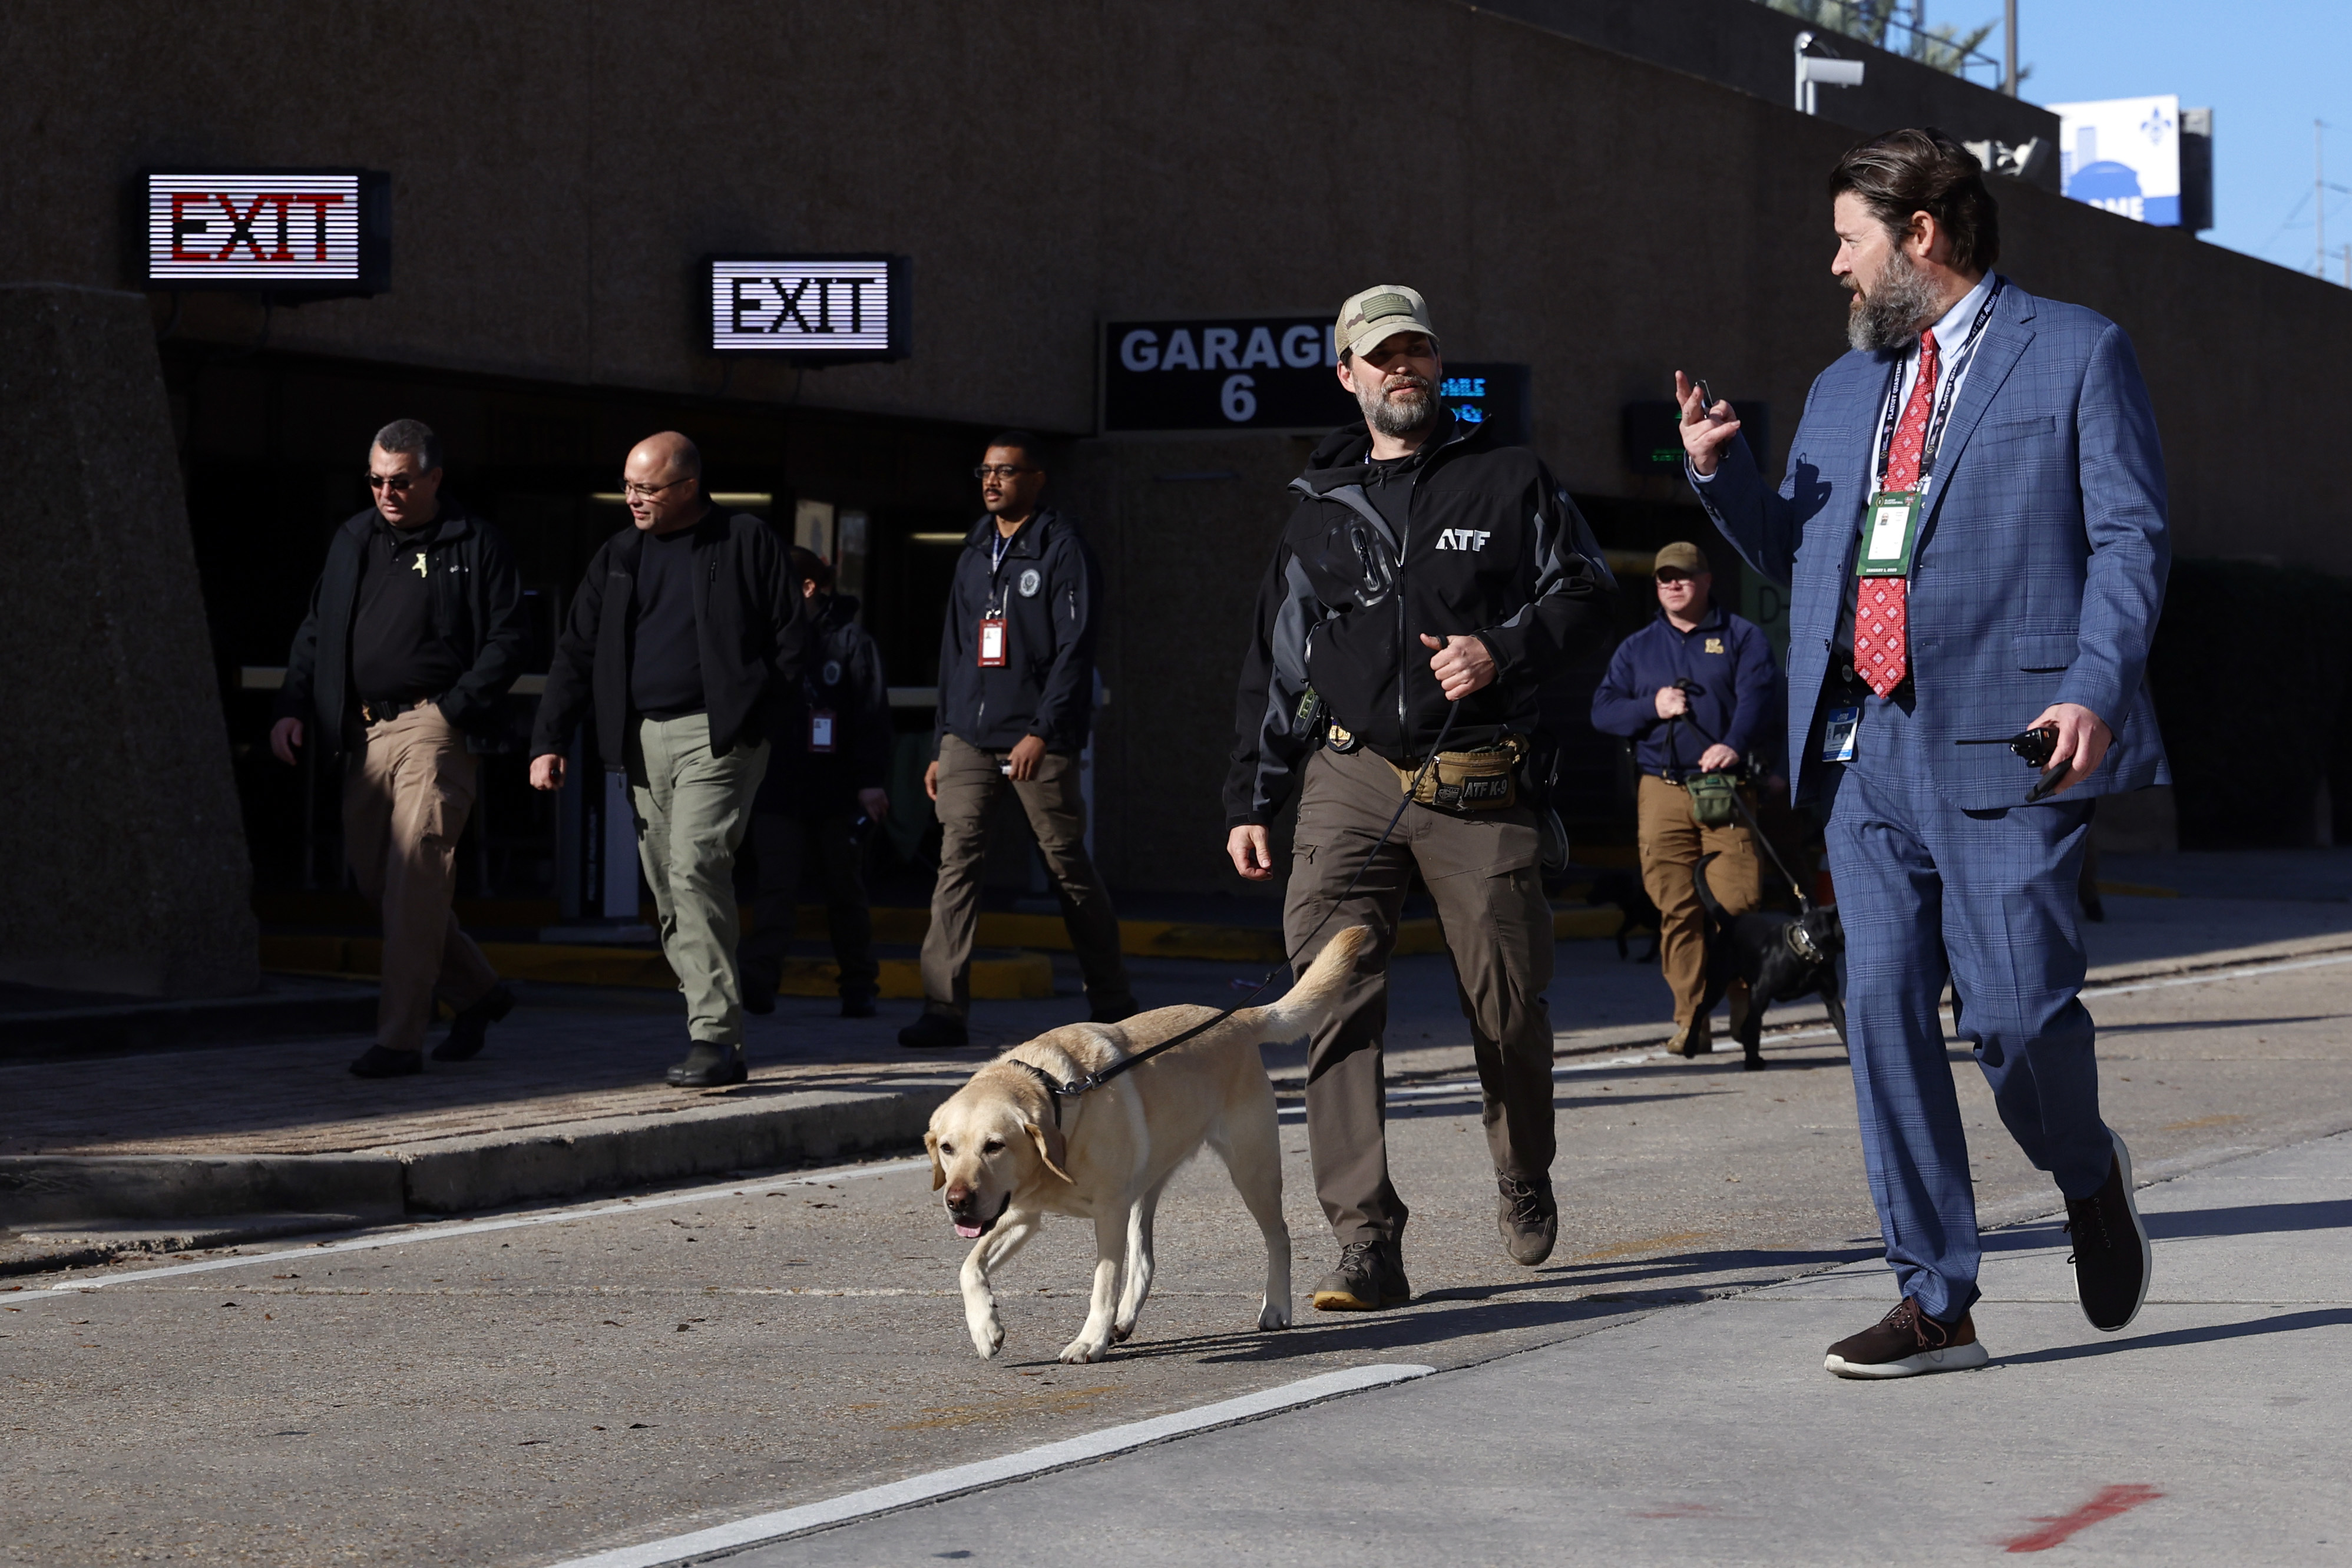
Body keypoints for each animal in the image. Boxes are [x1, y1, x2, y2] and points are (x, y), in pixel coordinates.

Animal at [927, 921, 1373, 1363]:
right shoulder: (1021, 1213)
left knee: (1278, 1236)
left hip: (1251, 1171)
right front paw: (985, 1328)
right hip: (1145, 1189)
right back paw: (1123, 1320)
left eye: (995, 1146)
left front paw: (1089, 1341)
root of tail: (1236, 1019)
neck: (1058, 1098)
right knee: (1145, 1261)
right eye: (947, 1149)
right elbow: (969, 1267)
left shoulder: (1108, 1213)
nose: (956, 1201)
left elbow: (1103, 1283)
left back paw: (1276, 1307)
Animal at [1590, 865, 1665, 964]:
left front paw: (1647, 958)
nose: (1587, 898)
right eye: (1596, 884)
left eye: (1602, 886)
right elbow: (1620, 932)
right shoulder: (1632, 920)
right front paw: (1624, 951)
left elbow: (1655, 945)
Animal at [1693, 851, 1853, 1071]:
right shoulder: (1760, 993)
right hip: (1718, 983)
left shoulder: (1831, 999)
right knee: (1702, 1009)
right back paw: (1689, 1047)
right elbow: (1753, 1028)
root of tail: (1731, 920)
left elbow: (1845, 1028)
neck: (1807, 949)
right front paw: (1752, 1062)